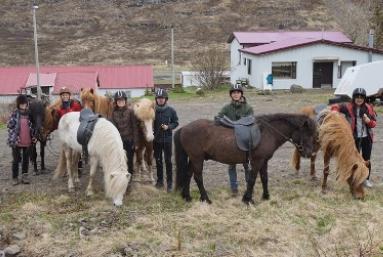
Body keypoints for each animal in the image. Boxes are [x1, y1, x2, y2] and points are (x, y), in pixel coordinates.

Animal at [175, 113, 318, 203]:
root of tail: (184, 128)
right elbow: (252, 179)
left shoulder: (264, 161)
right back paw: (206, 199)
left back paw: (187, 197)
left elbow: (264, 178)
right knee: (198, 178)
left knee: (188, 175)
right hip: (197, 158)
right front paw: (247, 199)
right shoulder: (257, 161)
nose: (309, 153)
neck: (267, 132)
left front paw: (266, 197)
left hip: (193, 159)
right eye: (306, 133)